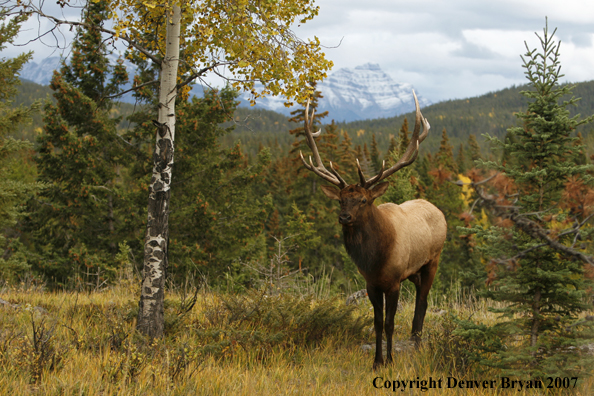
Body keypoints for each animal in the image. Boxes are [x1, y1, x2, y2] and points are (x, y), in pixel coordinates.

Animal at [300, 92, 444, 368]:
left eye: (363, 200)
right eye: (340, 200)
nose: (344, 217)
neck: (375, 259)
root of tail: (438, 210)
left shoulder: (394, 282)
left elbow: (389, 323)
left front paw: (390, 360)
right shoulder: (371, 284)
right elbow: (377, 323)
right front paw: (377, 361)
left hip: (432, 259)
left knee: (422, 299)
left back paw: (417, 340)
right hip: (414, 271)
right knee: (421, 296)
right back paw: (414, 336)